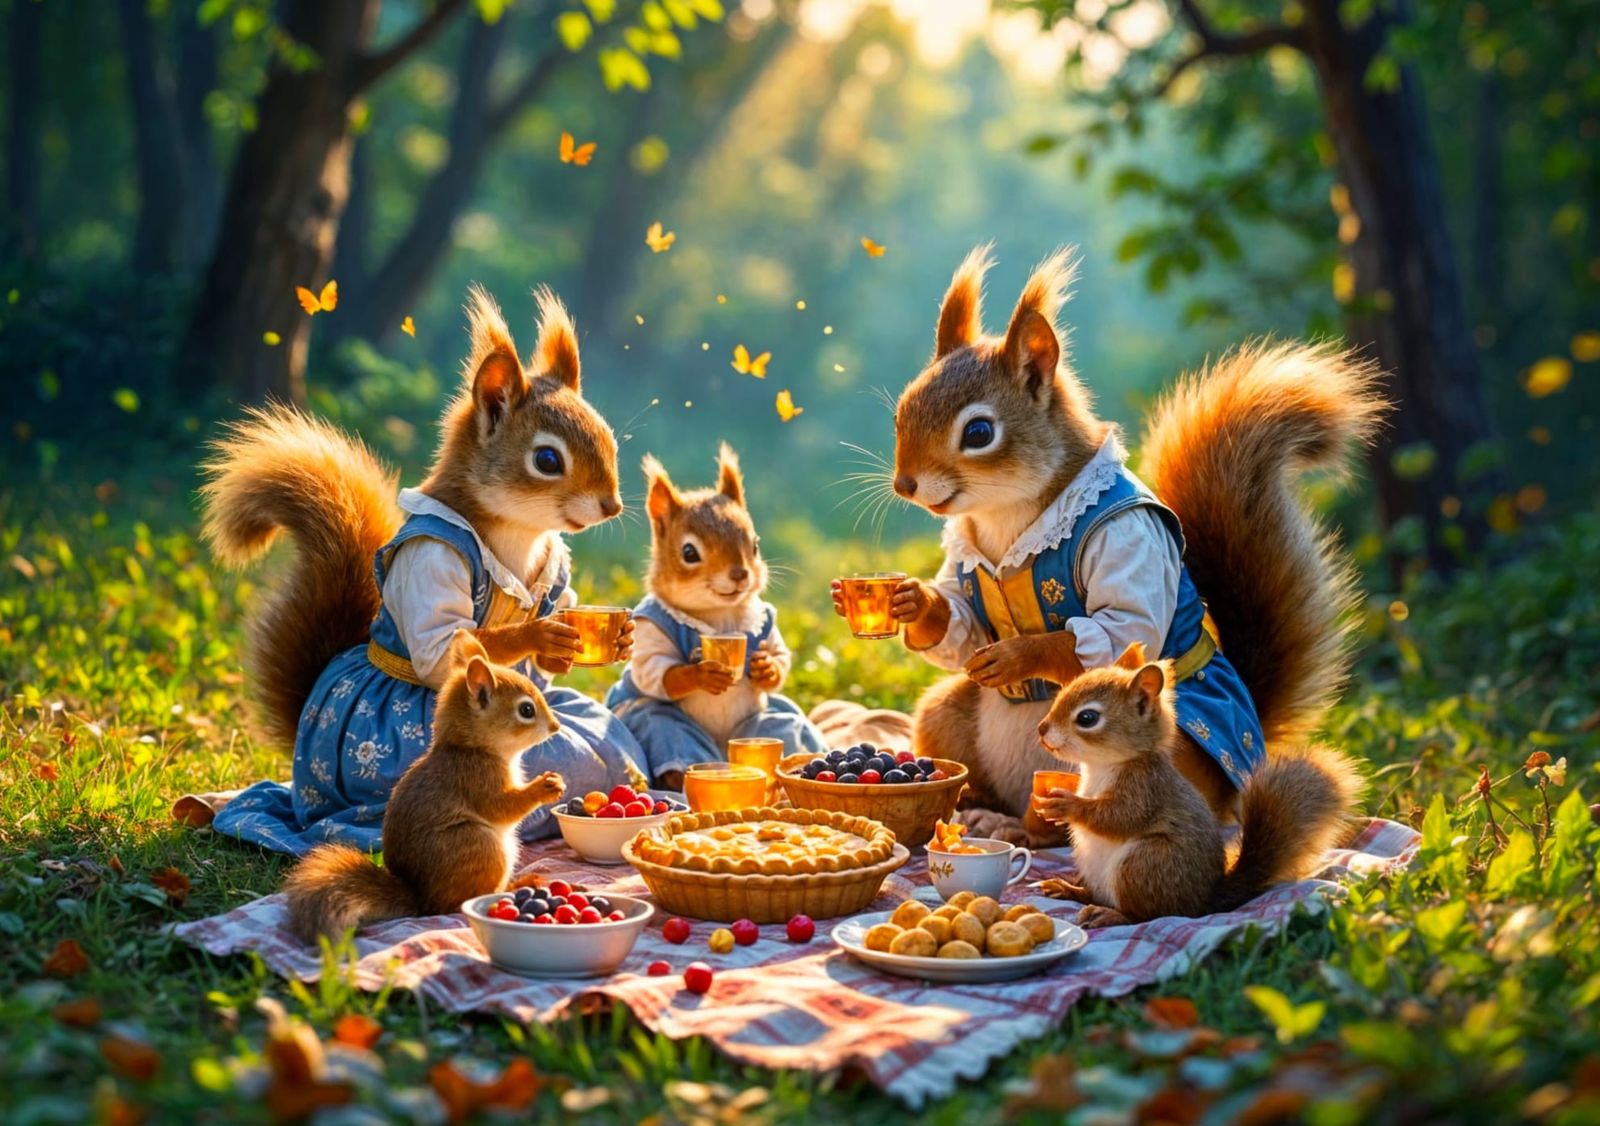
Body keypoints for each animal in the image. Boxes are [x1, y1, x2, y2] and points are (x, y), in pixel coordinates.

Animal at [284, 631, 566, 942]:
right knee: (459, 903)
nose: (556, 727)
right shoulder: (475, 779)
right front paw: (546, 786)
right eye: (526, 709)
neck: (470, 748)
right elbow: (502, 807)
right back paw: (511, 889)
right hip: (478, 845)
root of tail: (422, 900)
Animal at [870, 244, 1386, 842]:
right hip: (946, 714)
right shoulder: (965, 557)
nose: (905, 484)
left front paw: (1022, 655)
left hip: (1163, 747)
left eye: (978, 433)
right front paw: (914, 603)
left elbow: (1121, 626)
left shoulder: (1128, 540)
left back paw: (1023, 828)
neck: (1005, 515)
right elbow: (961, 621)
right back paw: (978, 806)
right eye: (901, 410)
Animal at [1032, 641, 1363, 926]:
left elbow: (1121, 817)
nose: (1041, 729)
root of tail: (1204, 901)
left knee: (1148, 915)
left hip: (1147, 863)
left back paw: (1111, 915)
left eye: (1087, 718)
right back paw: (1071, 890)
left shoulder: (1146, 787)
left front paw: (1068, 805)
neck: (1101, 766)